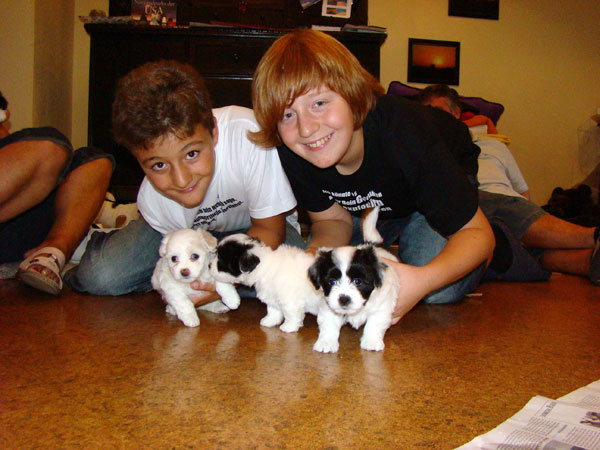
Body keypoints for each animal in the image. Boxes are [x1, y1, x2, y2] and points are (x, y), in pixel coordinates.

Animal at [308, 207, 401, 353]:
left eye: (358, 282)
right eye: (332, 282)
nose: (344, 299)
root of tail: (372, 244)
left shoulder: (382, 306)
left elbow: (374, 323)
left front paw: (371, 341)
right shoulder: (329, 306)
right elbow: (328, 324)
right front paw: (326, 342)